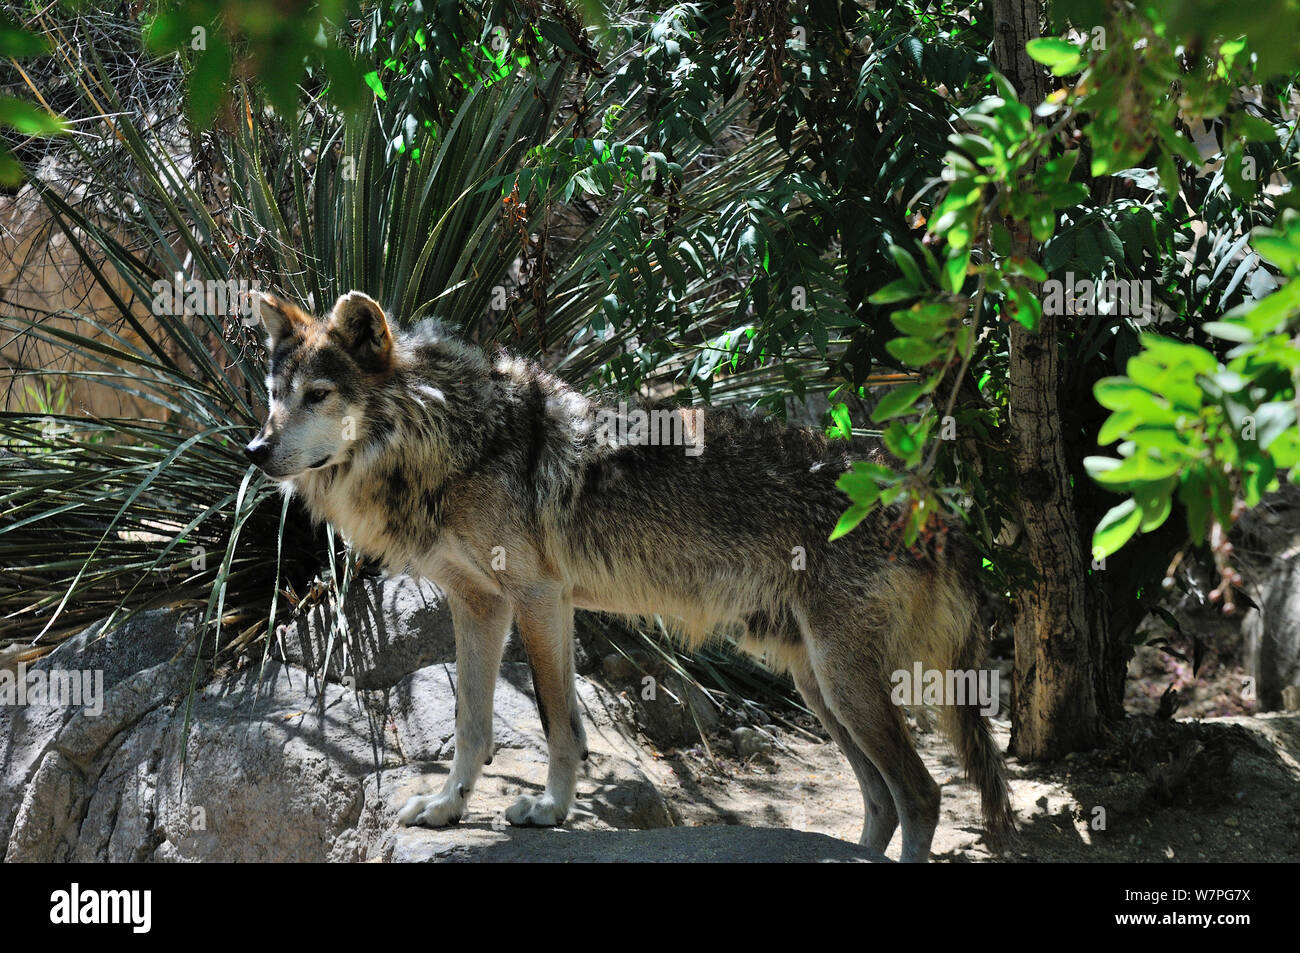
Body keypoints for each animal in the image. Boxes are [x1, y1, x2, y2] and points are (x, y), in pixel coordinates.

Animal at [244, 286, 1013, 858]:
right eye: (273, 393)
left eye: (318, 394)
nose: (255, 449)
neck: (454, 439)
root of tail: (932, 502)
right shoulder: (481, 605)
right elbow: (471, 725)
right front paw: (445, 808)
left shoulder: (538, 597)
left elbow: (557, 722)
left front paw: (547, 810)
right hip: (817, 684)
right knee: (881, 799)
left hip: (844, 684)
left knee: (921, 795)